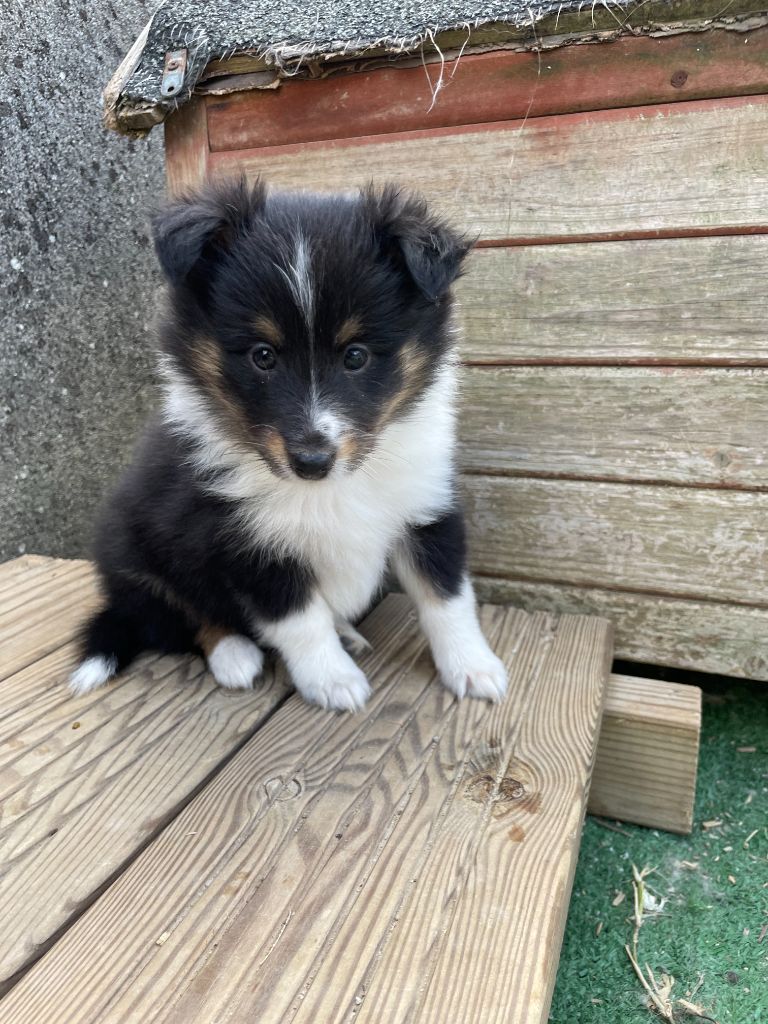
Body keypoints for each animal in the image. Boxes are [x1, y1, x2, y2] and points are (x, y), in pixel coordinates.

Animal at [69, 180, 507, 708]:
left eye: (356, 356)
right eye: (263, 356)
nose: (312, 461)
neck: (333, 487)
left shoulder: (426, 505)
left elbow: (447, 596)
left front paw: (473, 667)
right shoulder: (246, 541)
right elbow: (299, 620)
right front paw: (333, 681)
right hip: (134, 554)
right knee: (181, 616)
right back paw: (234, 654)